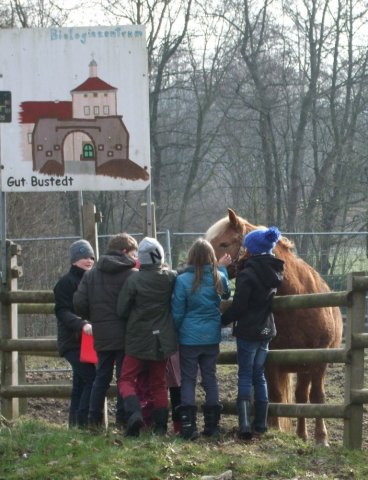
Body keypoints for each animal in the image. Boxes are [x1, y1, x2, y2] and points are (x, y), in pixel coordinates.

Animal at [206, 209, 344, 446]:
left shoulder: (317, 360)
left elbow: (315, 397)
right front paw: (274, 428)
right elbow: (276, 395)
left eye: (224, 243)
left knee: (303, 395)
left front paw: (320, 437)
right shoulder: (271, 361)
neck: (296, 297)